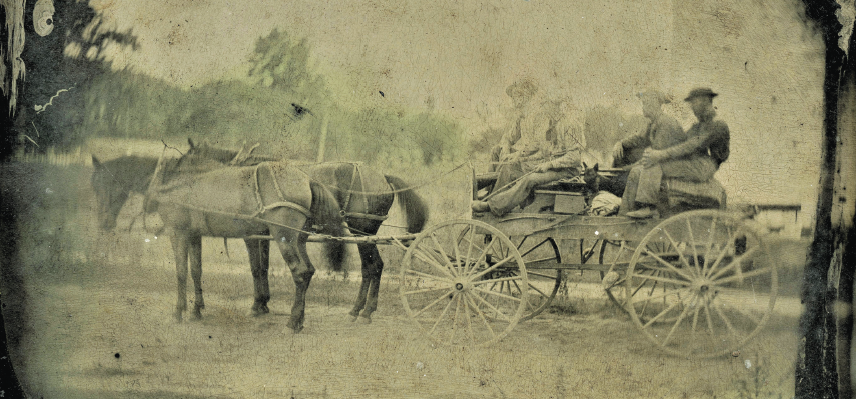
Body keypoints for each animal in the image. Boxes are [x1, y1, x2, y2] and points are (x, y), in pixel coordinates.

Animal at [87, 153, 342, 332]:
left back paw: (293, 321)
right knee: (308, 271)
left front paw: (179, 311)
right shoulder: (194, 235)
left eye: (101, 185)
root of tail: (307, 178)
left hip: (284, 237)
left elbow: (181, 272)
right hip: (298, 239)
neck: (174, 181)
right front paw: (196, 309)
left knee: (299, 272)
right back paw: (299, 318)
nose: (103, 223)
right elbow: (196, 271)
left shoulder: (178, 233)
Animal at [187, 139, 428, 324]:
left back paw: (365, 312)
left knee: (374, 267)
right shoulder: (266, 234)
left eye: (184, 161)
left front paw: (257, 306)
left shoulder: (252, 235)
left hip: (362, 233)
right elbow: (263, 267)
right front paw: (264, 303)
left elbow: (256, 268)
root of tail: (383, 178)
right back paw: (358, 310)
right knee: (370, 268)